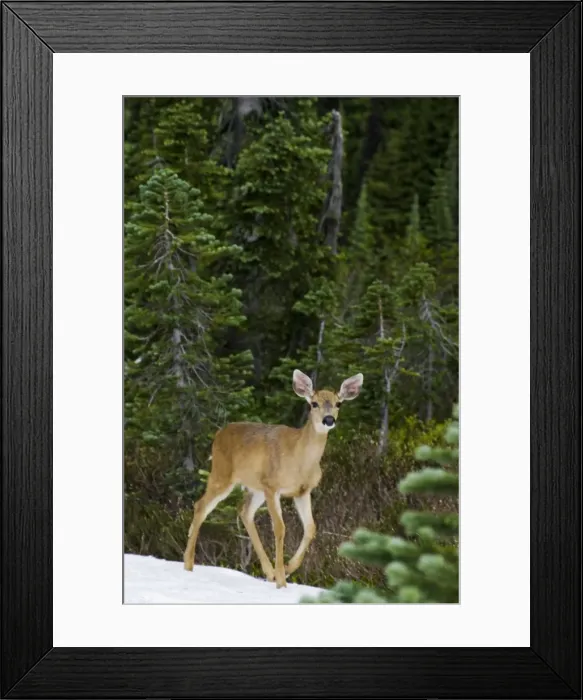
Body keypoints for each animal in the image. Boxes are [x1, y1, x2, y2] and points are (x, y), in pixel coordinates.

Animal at [183, 369, 364, 588]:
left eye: (338, 403)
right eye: (314, 403)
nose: (328, 420)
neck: (300, 460)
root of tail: (219, 433)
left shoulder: (303, 491)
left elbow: (310, 528)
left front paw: (287, 568)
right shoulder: (272, 486)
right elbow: (280, 528)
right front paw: (282, 581)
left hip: (255, 488)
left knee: (244, 511)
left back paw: (268, 572)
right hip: (222, 473)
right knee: (201, 506)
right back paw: (188, 564)